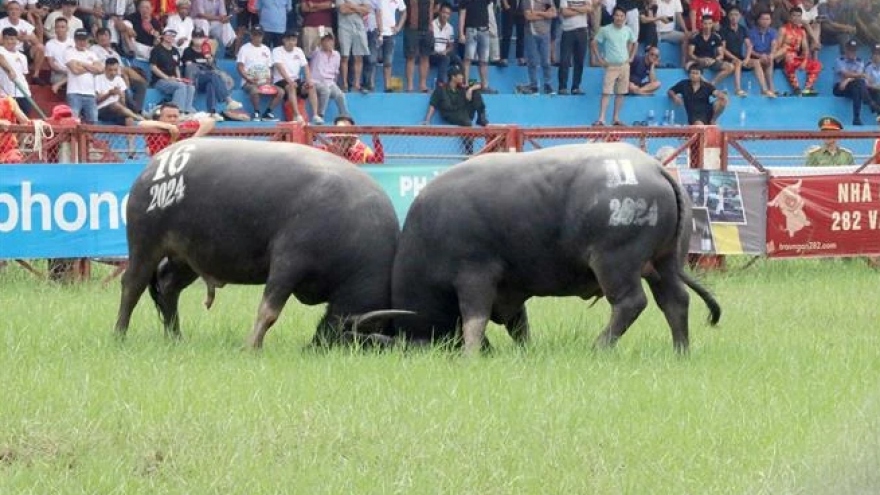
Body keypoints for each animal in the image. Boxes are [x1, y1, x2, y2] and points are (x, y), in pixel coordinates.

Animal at [112, 139, 398, 348]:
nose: (315, 346)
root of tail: (153, 166)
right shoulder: (288, 262)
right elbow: (269, 311)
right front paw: (252, 346)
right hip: (145, 244)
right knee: (132, 286)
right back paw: (120, 334)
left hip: (187, 258)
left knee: (168, 285)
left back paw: (175, 337)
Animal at [392, 141, 720, 354]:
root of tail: (654, 168)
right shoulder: (509, 287)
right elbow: (518, 324)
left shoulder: (474, 275)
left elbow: (475, 319)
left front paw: (470, 354)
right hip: (664, 263)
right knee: (675, 301)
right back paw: (681, 350)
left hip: (615, 262)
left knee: (631, 303)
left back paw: (599, 348)